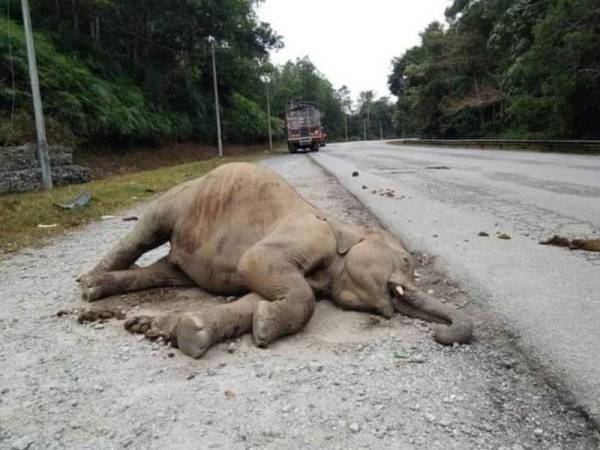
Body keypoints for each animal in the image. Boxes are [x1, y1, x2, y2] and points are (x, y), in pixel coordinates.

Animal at [79, 163, 472, 356]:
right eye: (406, 261)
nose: (441, 331)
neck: (340, 228)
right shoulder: (307, 234)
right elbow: (255, 262)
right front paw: (264, 328)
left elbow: (255, 298)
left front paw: (181, 331)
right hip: (178, 199)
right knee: (144, 233)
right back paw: (87, 285)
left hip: (184, 258)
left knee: (164, 272)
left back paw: (102, 290)